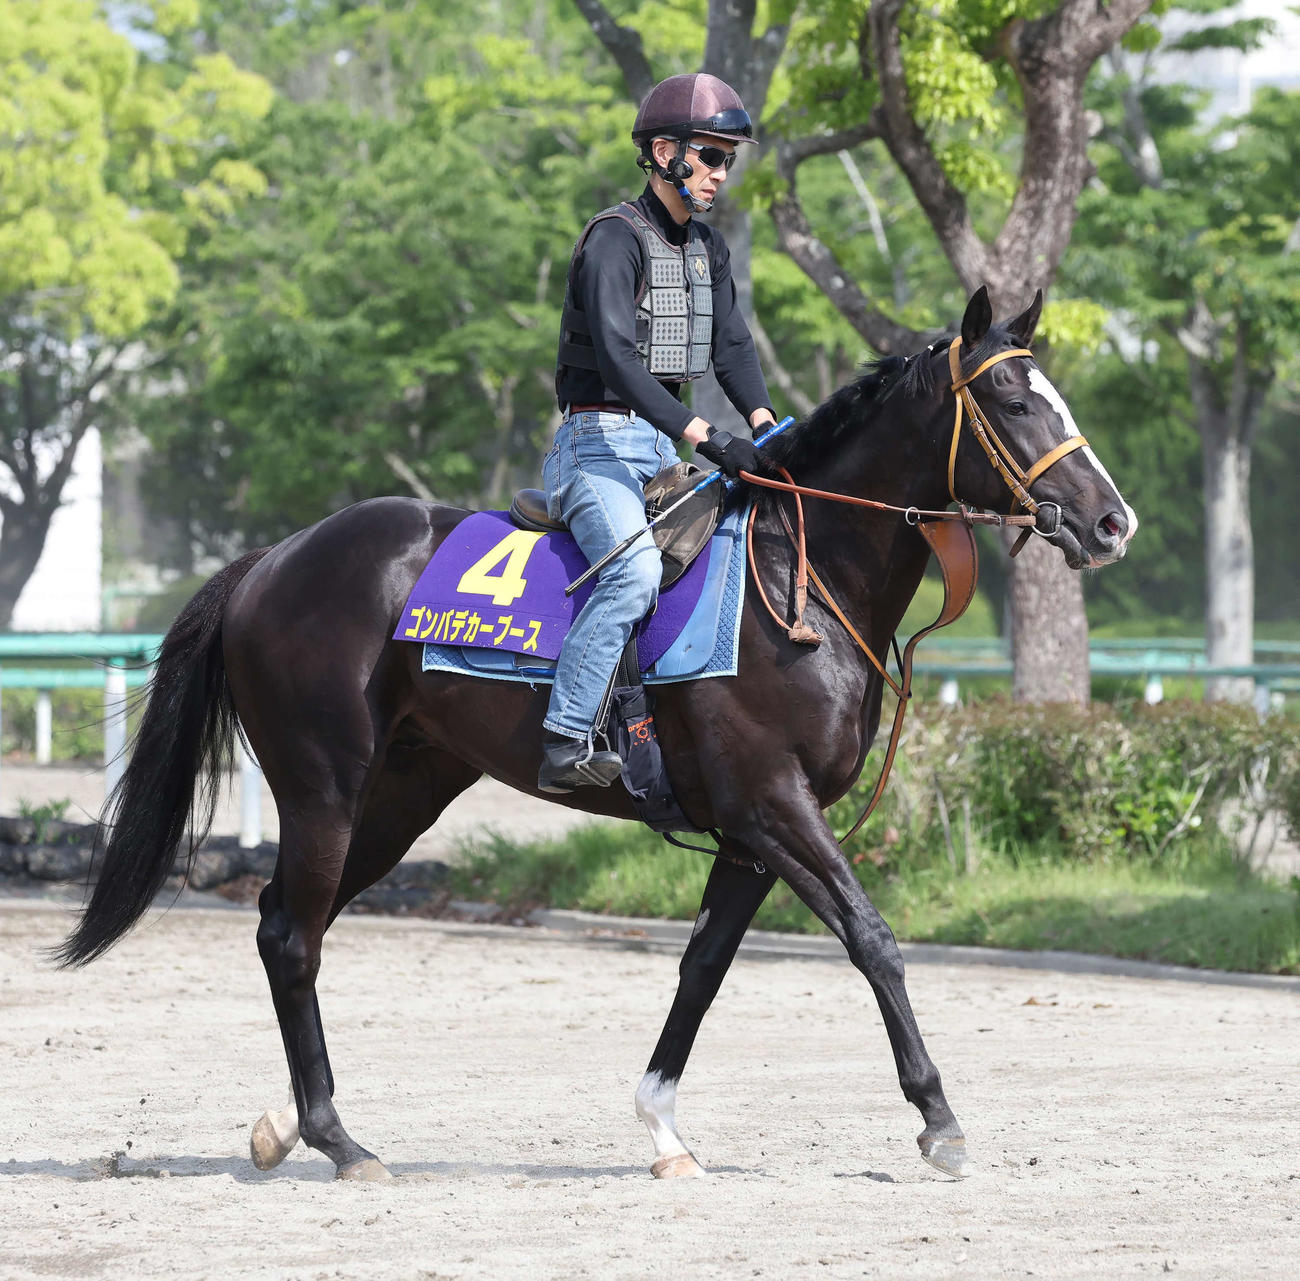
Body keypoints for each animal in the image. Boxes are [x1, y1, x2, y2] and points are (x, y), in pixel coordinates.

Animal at [57, 288, 1135, 1182]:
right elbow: (873, 940)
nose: (1111, 522)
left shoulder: (750, 835)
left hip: (402, 795)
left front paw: (662, 1127)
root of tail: (273, 559)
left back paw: (289, 1123)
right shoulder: (774, 807)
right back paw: (337, 1138)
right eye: (1012, 400)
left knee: (294, 921)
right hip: (325, 786)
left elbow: (702, 968)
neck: (799, 576)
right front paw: (938, 1119)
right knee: (291, 933)